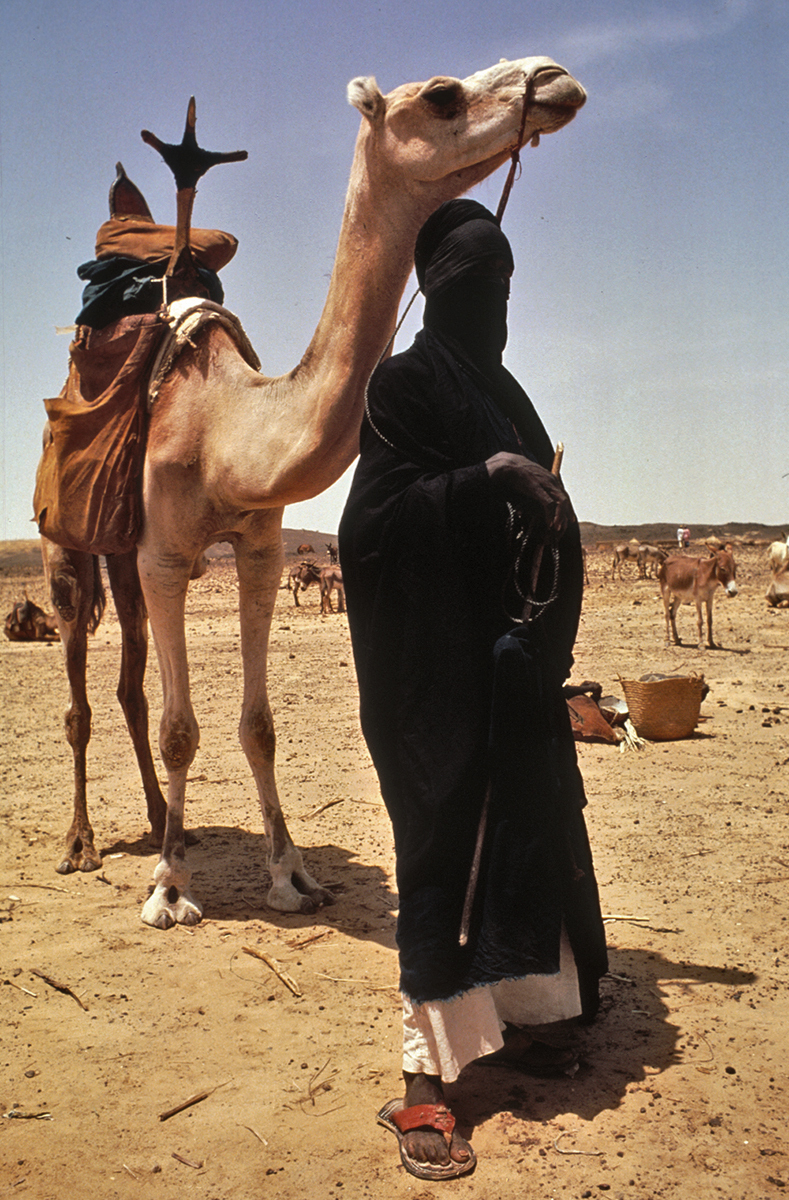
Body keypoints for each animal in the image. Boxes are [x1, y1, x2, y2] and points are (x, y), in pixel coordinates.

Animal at [43, 56, 582, 926]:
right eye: (442, 95)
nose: (555, 77)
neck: (230, 428)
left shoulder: (259, 545)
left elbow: (258, 725)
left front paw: (290, 875)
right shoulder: (167, 556)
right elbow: (181, 728)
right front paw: (170, 889)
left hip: (122, 556)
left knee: (128, 688)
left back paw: (163, 822)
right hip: (67, 545)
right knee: (83, 699)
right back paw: (83, 843)